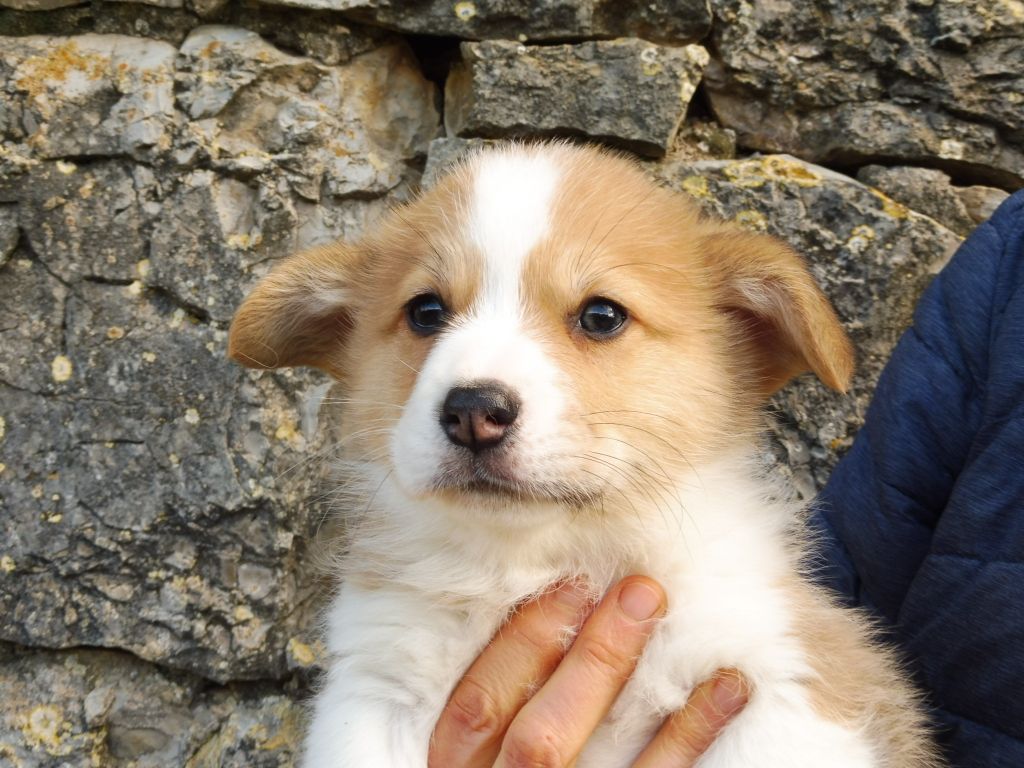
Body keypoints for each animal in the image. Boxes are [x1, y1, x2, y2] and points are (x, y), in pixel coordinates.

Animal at [228, 142, 939, 767]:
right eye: (425, 311)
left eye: (601, 315)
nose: (472, 411)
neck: (538, 563)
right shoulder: (376, 689)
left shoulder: (778, 681)